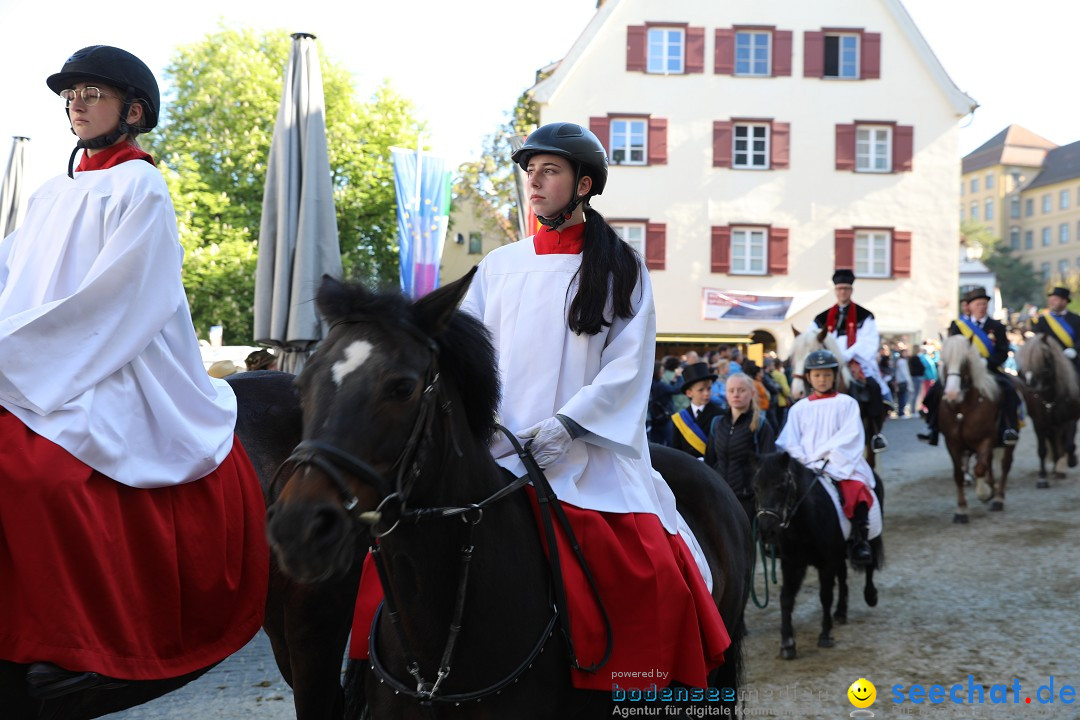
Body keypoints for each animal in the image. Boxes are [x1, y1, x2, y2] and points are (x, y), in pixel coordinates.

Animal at [756, 453, 881, 660]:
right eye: (755, 487)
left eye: (781, 485)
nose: (766, 531)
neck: (804, 523)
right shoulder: (792, 563)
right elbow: (786, 598)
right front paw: (787, 644)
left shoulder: (826, 562)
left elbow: (825, 596)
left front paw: (826, 635)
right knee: (843, 576)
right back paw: (841, 611)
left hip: (871, 537)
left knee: (870, 564)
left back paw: (870, 595)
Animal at [937, 334, 1010, 520]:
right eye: (943, 360)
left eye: (964, 362)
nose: (952, 393)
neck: (963, 410)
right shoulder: (952, 443)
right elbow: (959, 474)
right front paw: (961, 510)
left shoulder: (987, 439)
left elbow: (979, 469)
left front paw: (984, 493)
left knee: (1004, 466)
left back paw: (998, 498)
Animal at [1015, 334, 1075, 487]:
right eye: (1024, 360)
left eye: (1045, 356)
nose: (1030, 386)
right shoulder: (1039, 423)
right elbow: (1042, 450)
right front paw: (1042, 477)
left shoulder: (1070, 419)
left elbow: (1069, 445)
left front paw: (1071, 461)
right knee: (1053, 444)